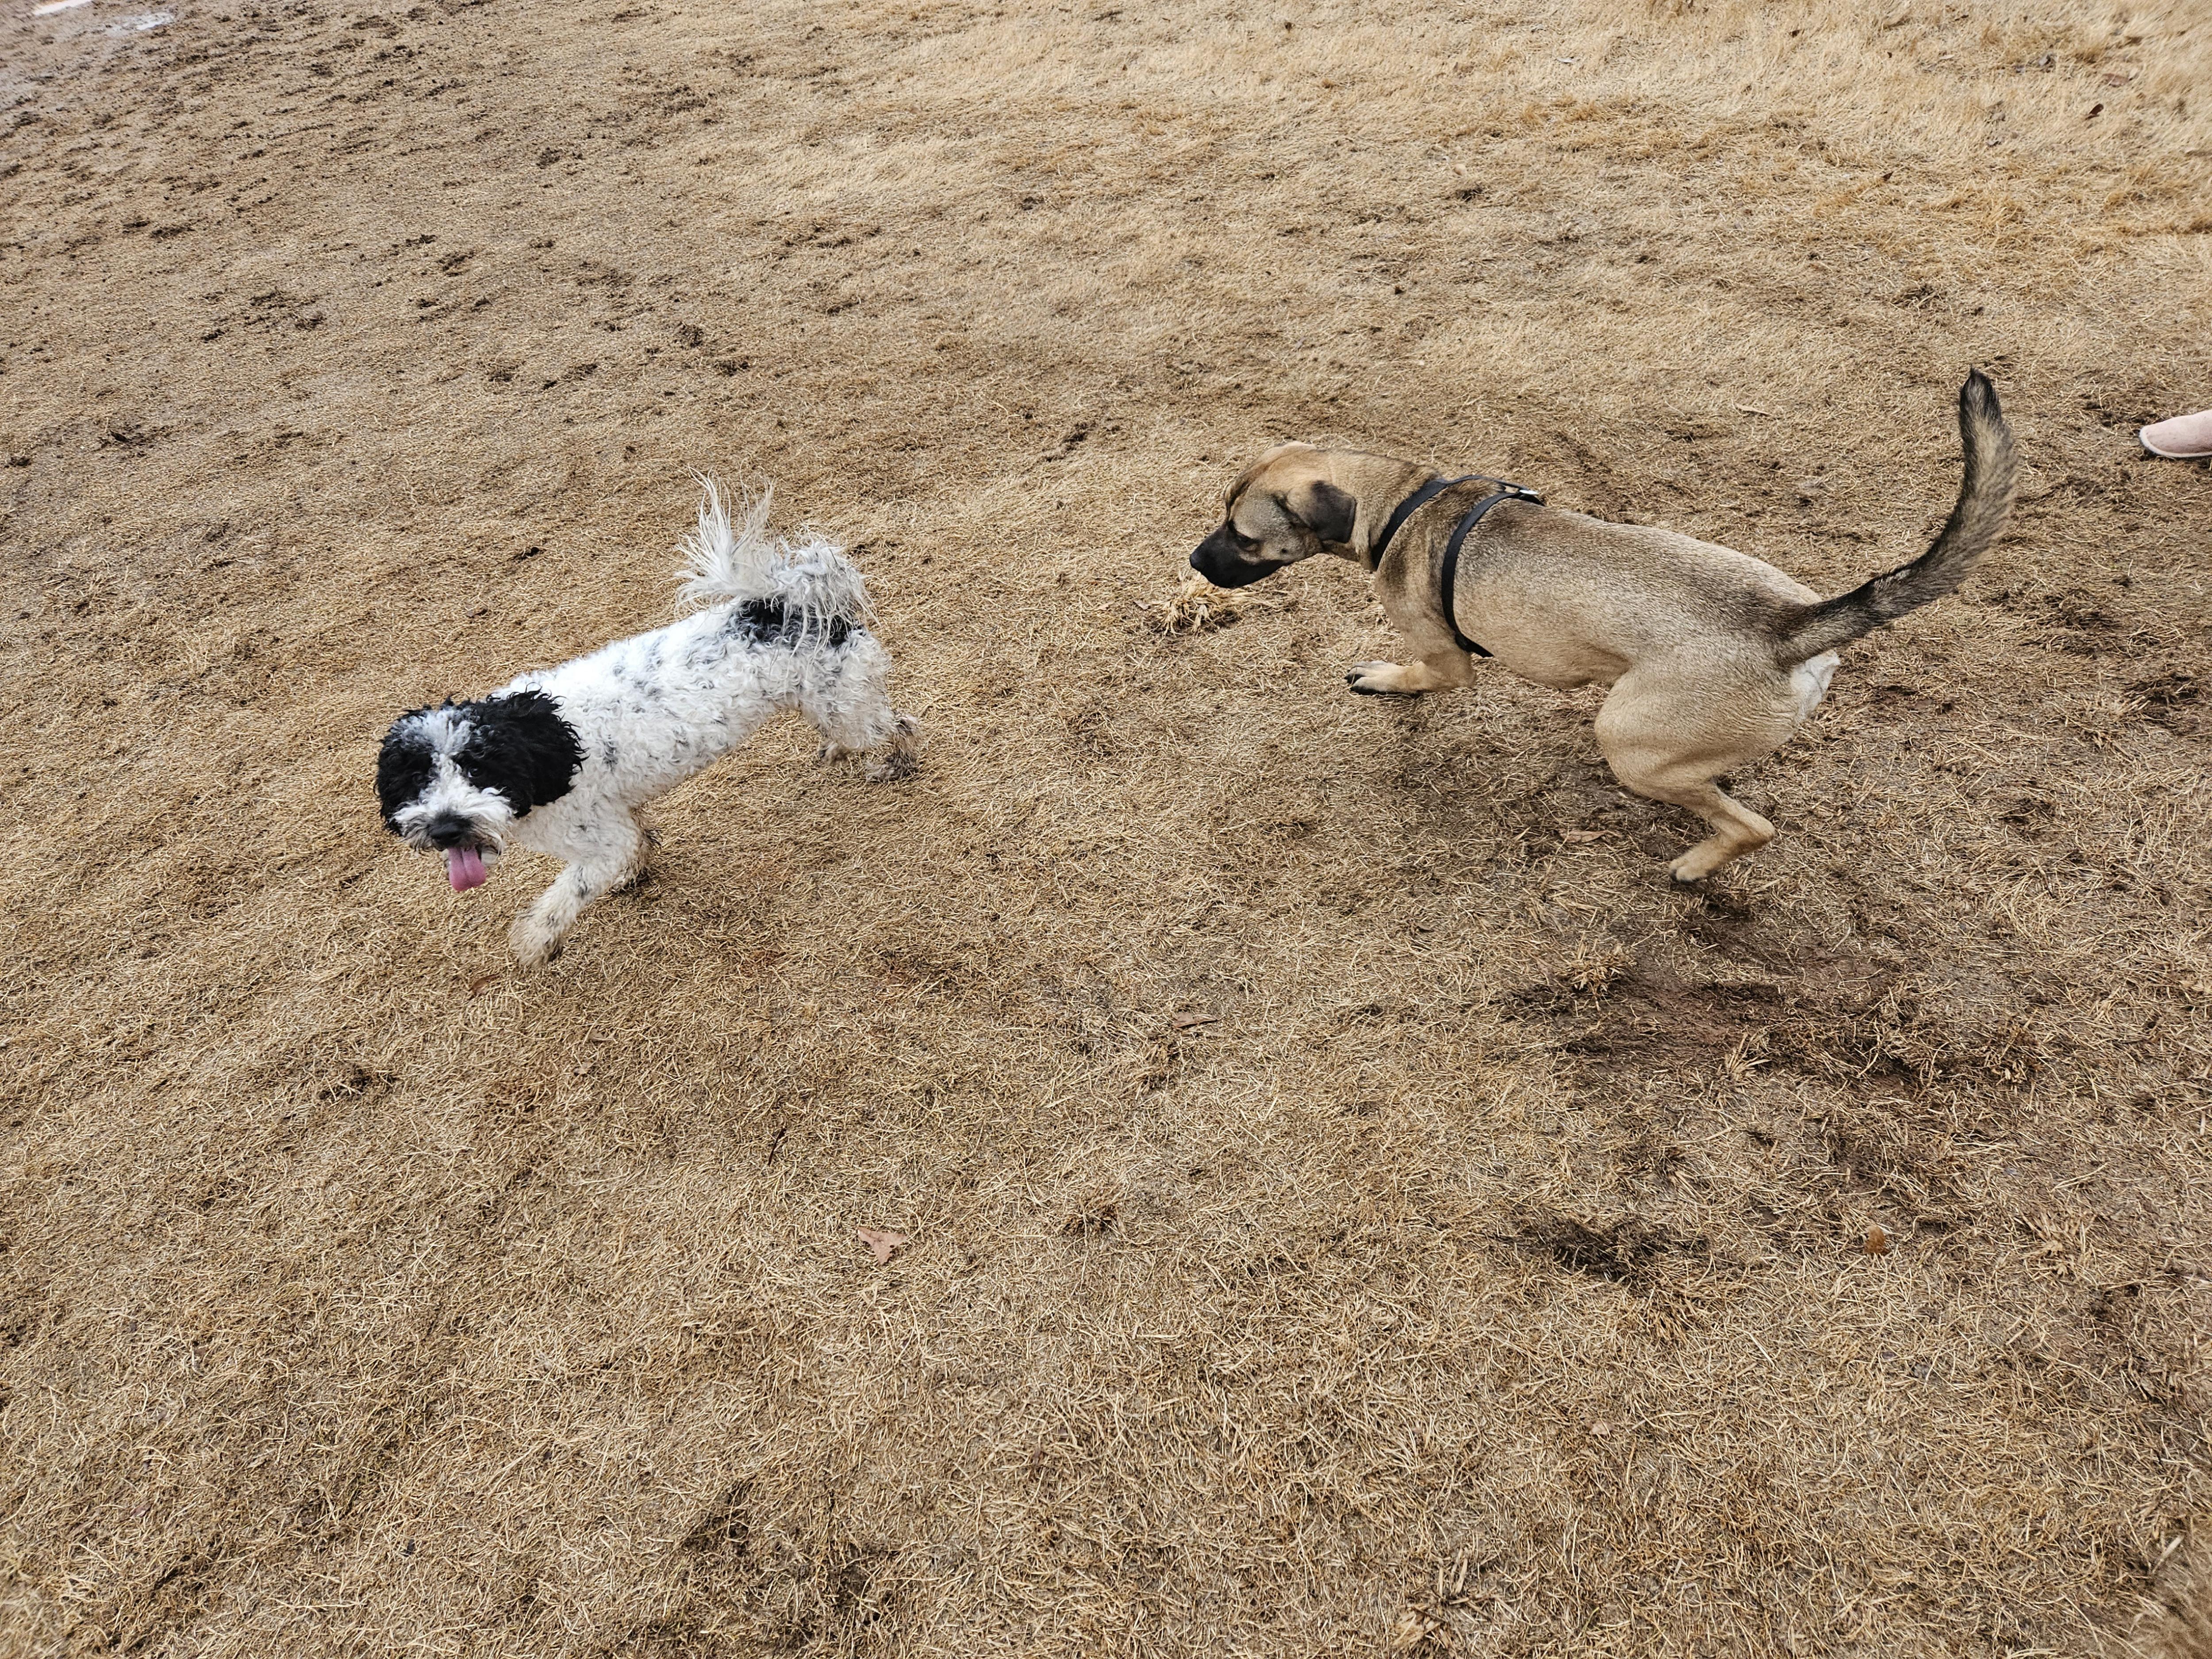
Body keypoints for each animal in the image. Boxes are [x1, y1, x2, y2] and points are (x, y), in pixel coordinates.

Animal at [376, 480, 920, 969]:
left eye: (480, 767)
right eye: (417, 778)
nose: (446, 828)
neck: (540, 747)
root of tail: (783, 603)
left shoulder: (600, 840)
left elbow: (563, 898)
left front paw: (534, 944)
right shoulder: (617, 814)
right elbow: (637, 841)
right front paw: (635, 875)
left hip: (847, 704)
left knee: (900, 725)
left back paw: (895, 764)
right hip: (825, 701)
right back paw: (838, 752)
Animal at [1194, 376, 2026, 885]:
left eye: (1243, 537)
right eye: (1222, 519)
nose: (1196, 561)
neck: (1402, 503)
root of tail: (1787, 624)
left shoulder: (1446, 658)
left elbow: (1421, 674)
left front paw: (1384, 680)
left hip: (1627, 741)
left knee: (1749, 825)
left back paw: (1697, 863)